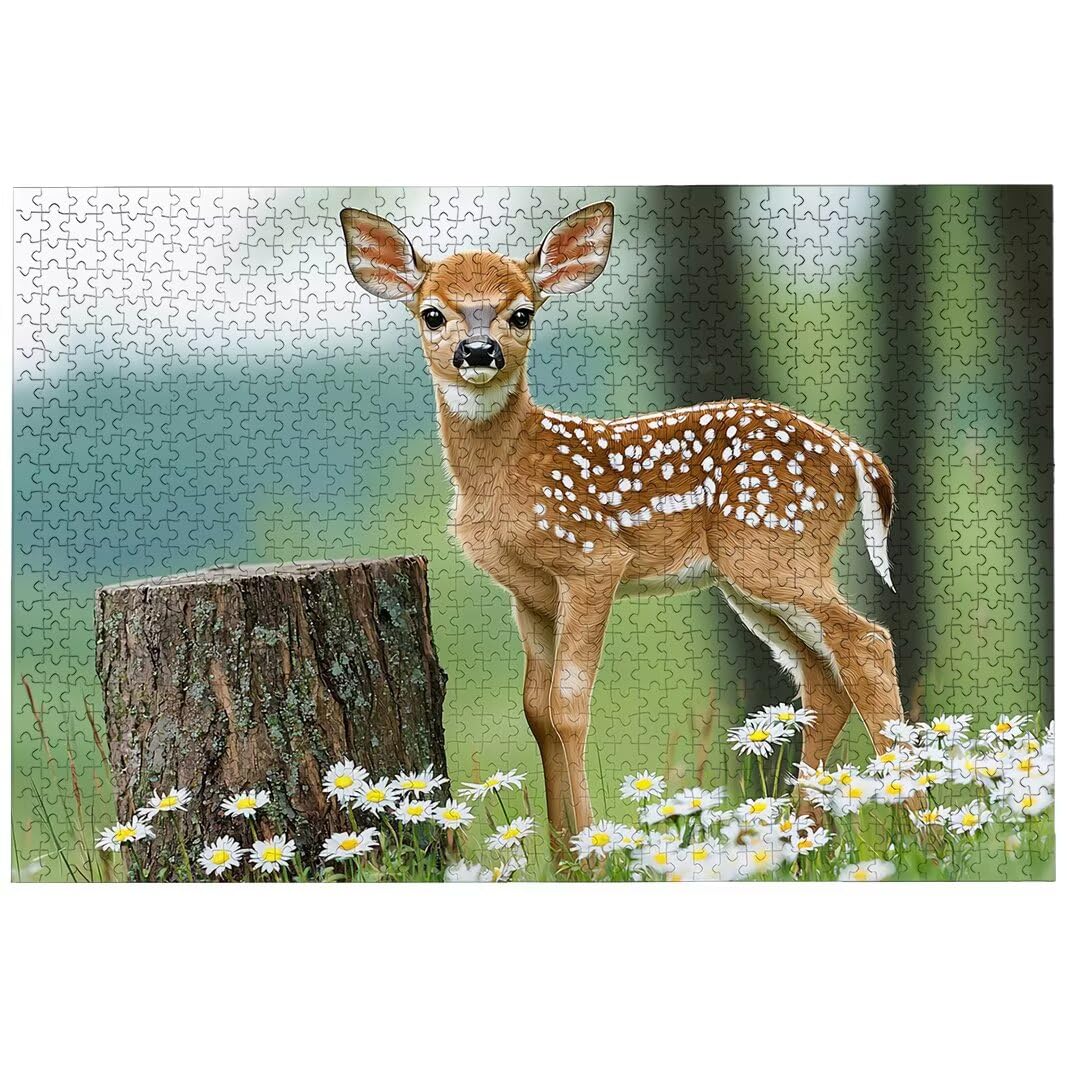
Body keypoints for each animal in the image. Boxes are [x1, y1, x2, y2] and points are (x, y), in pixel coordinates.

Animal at [339, 200, 908, 845]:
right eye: (432, 313)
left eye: (522, 312)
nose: (479, 352)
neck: (508, 473)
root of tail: (854, 453)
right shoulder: (527, 592)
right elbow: (535, 710)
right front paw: (560, 852)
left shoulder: (592, 560)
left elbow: (568, 705)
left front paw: (592, 847)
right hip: (751, 579)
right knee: (822, 677)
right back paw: (800, 838)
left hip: (774, 548)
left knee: (867, 641)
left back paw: (918, 823)